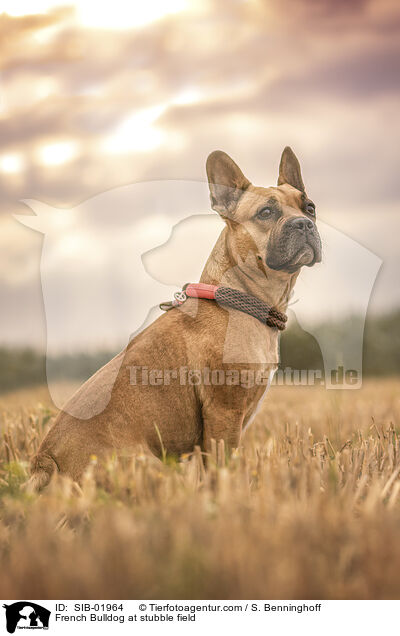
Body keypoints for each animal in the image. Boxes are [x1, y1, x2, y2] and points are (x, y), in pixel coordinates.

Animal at [28, 147, 322, 490]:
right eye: (265, 213)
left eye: (310, 208)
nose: (304, 224)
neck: (240, 296)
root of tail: (44, 463)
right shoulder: (224, 414)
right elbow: (222, 467)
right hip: (147, 462)